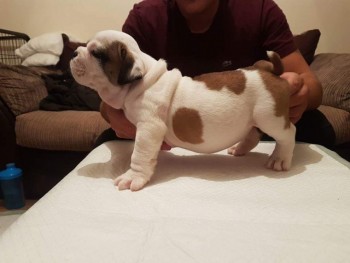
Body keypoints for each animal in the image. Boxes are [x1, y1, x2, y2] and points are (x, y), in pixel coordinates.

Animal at [70, 30, 296, 192]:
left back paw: (279, 159)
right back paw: (239, 149)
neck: (142, 80)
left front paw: (133, 177)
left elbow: (139, 154)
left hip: (269, 117)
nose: (73, 52)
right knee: (253, 134)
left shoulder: (149, 128)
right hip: (255, 119)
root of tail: (268, 71)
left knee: (287, 133)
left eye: (96, 53)